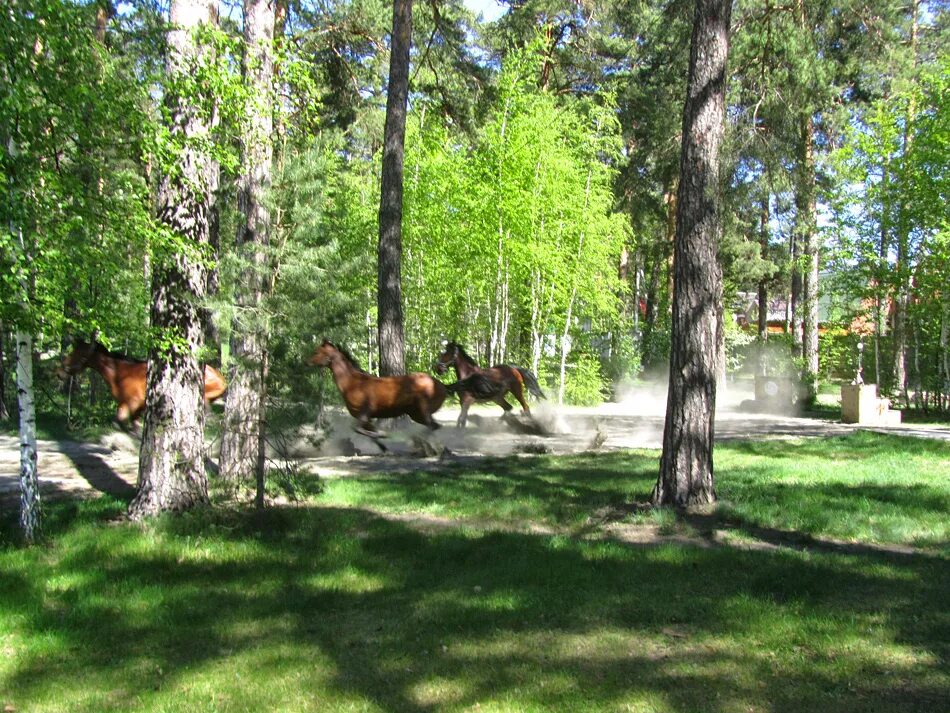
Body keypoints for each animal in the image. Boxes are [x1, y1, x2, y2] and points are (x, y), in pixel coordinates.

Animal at [60, 336, 230, 426]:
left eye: (77, 353)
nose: (60, 371)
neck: (120, 373)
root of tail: (222, 379)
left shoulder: (133, 403)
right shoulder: (133, 407)